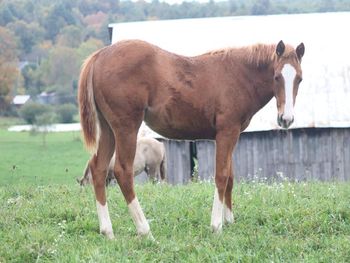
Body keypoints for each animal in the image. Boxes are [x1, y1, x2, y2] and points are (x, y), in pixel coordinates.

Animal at [78, 38, 304, 239]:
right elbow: (221, 176)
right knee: (122, 172)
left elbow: (230, 177)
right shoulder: (227, 132)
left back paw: (108, 232)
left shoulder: (232, 135)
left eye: (299, 78)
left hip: (108, 130)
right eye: (277, 76)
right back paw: (145, 231)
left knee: (98, 169)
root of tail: (99, 56)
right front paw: (216, 226)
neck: (237, 75)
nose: (286, 119)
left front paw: (229, 220)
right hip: (126, 128)